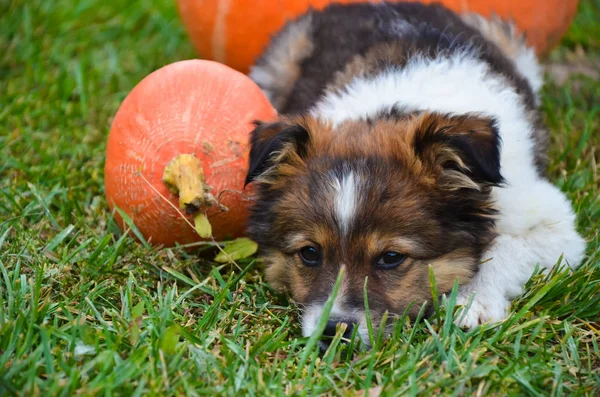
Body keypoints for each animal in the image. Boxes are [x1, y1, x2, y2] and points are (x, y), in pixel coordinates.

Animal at [241, 2, 584, 344]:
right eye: (310, 252)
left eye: (391, 257)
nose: (334, 331)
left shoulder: (553, 225)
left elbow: (506, 249)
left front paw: (473, 302)